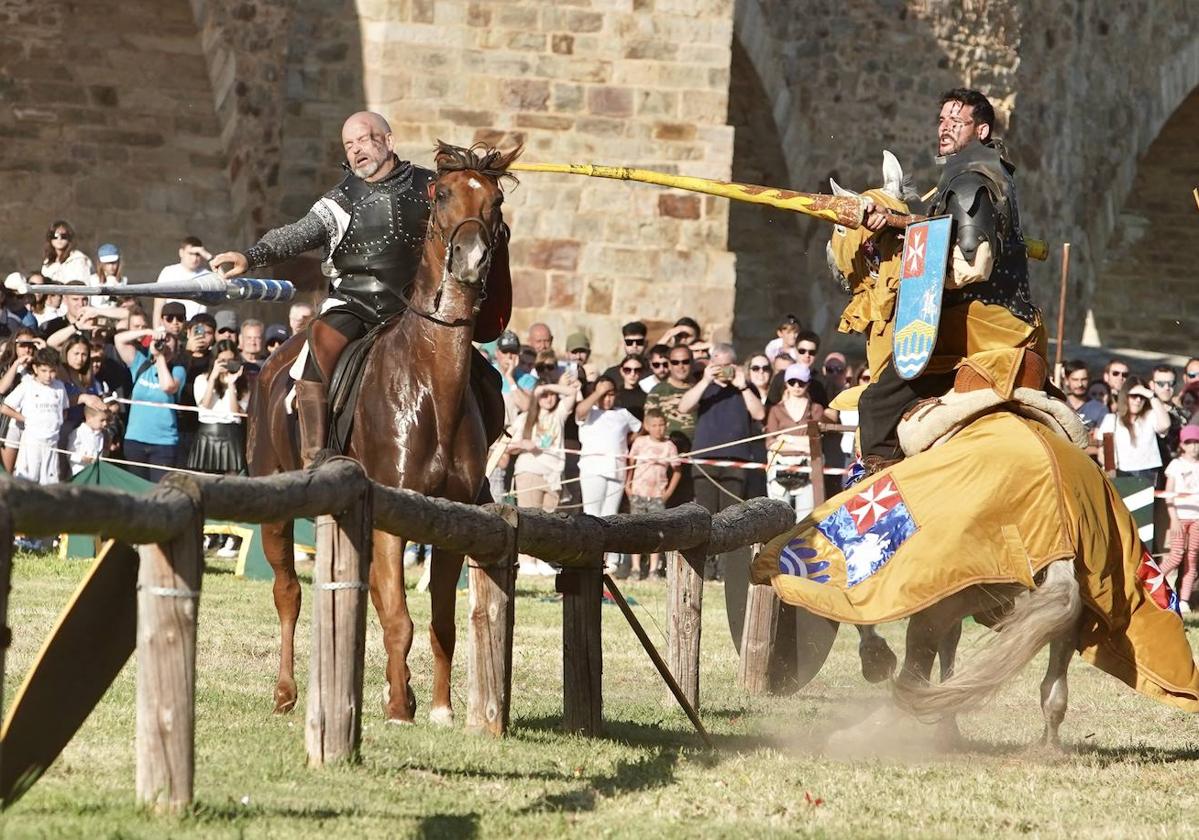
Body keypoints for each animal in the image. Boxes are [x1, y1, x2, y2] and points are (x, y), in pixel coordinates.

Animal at [246, 142, 520, 718]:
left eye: (496, 200)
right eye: (442, 195)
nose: (471, 257)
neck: (428, 385)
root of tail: (273, 362)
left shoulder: (451, 523)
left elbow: (438, 622)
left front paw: (437, 706)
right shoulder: (393, 517)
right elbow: (399, 618)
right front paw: (398, 706)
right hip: (274, 500)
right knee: (289, 593)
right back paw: (286, 691)